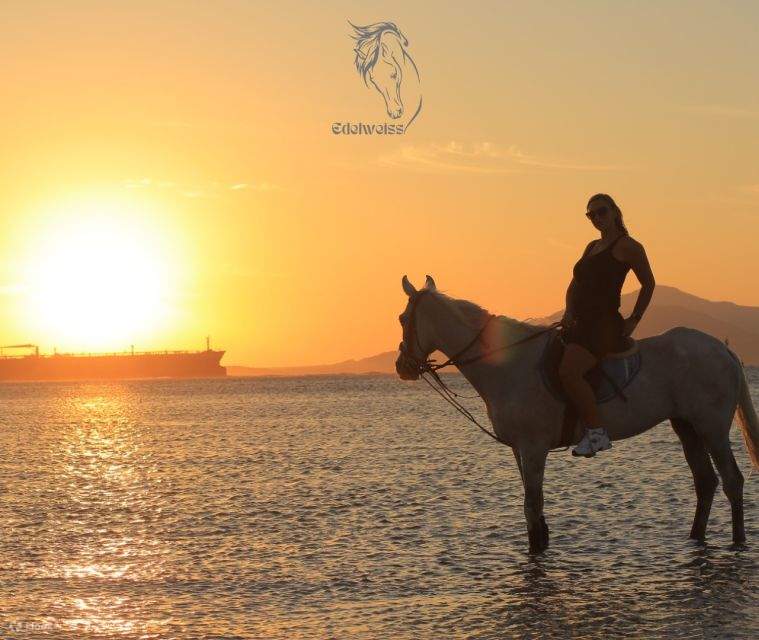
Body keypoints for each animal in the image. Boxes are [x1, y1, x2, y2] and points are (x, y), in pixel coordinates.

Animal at [395, 275, 759, 554]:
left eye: (402, 319)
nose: (402, 367)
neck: (507, 363)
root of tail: (724, 349)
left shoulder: (533, 446)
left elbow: (532, 506)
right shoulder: (520, 449)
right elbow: (534, 508)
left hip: (712, 428)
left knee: (732, 480)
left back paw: (738, 542)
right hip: (686, 426)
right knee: (706, 482)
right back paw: (695, 539)